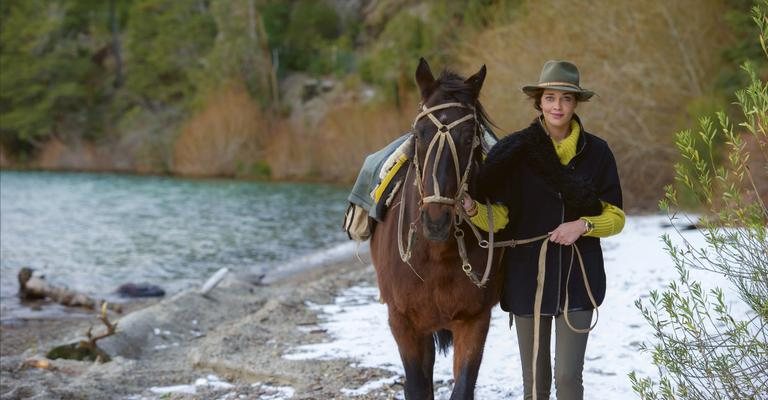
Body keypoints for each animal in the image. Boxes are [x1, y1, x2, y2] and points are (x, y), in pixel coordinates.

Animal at [370, 57, 504, 400]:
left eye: (470, 137)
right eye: (419, 134)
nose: (436, 219)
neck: (436, 255)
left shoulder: (474, 321)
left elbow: (463, 387)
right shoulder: (403, 322)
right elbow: (417, 387)